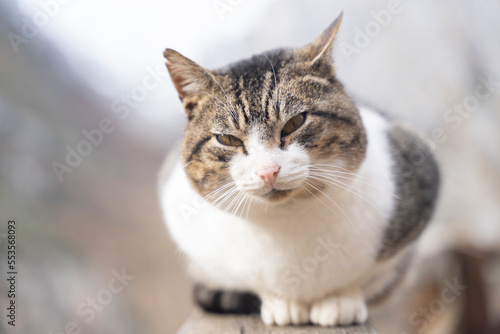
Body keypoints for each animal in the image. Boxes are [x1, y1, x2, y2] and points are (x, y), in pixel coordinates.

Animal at [158, 12, 440, 326]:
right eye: (227, 139)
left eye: (295, 122)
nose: (268, 171)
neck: (288, 217)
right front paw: (281, 303)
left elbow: (363, 277)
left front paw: (340, 300)